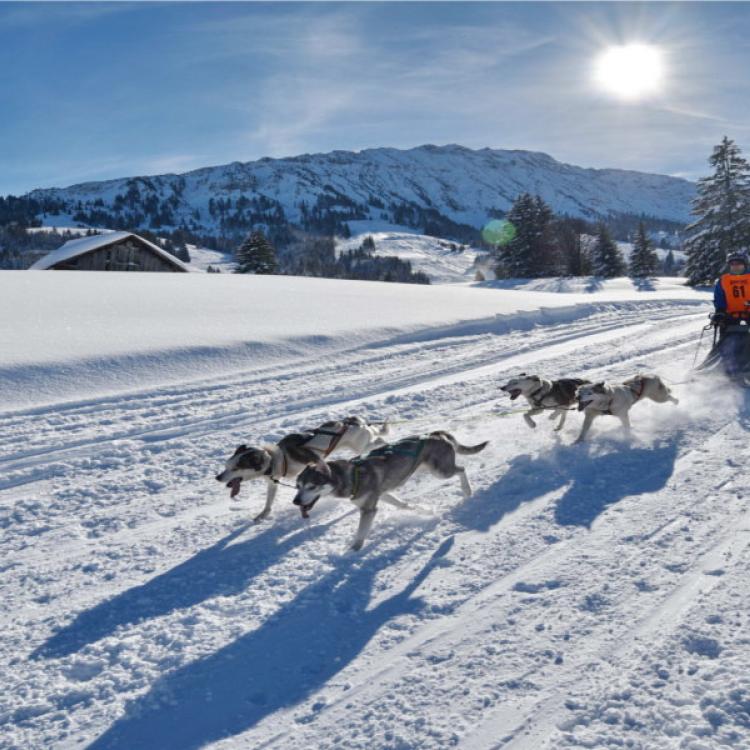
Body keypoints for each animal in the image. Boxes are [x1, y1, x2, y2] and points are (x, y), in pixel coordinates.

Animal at [214, 418, 390, 524]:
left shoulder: (316, 461)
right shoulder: (273, 482)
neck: (280, 457)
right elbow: (268, 502)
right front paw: (262, 515)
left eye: (236, 468)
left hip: (361, 445)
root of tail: (357, 421)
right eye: (226, 466)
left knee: (379, 440)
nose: (218, 477)